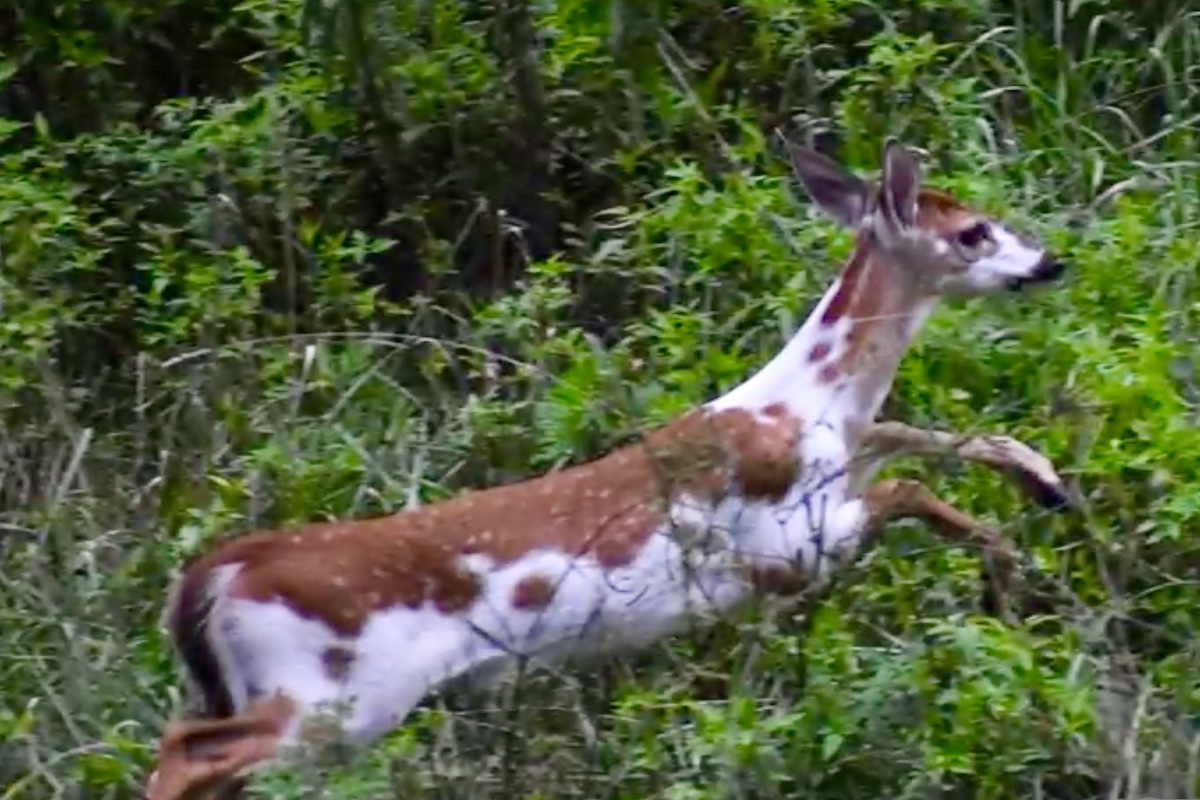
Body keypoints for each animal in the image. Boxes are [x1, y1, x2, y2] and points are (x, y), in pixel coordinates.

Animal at [147, 139, 1070, 800]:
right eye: (974, 232)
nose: (1050, 262)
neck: (809, 406)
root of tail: (208, 578)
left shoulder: (833, 480)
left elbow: (925, 437)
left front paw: (1041, 493)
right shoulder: (785, 546)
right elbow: (909, 485)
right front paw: (1009, 569)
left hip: (270, 693)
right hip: (330, 693)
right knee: (183, 753)